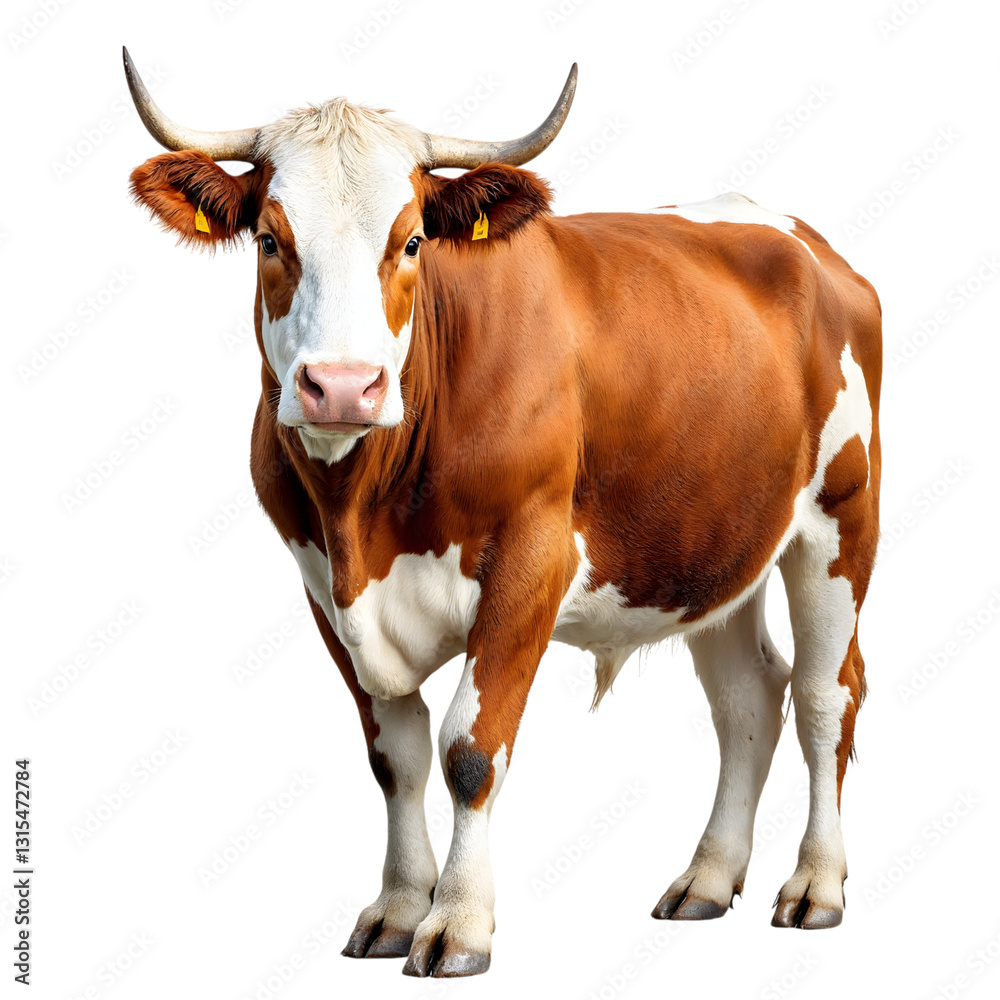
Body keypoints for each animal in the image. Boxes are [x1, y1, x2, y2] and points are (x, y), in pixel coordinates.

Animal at [124, 48, 881, 978]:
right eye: (270, 239)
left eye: (412, 239)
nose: (342, 387)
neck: (364, 516)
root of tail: (794, 234)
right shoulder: (319, 580)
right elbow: (396, 756)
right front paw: (398, 906)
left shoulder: (533, 557)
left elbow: (469, 751)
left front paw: (457, 923)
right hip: (711, 537)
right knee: (748, 696)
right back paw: (706, 877)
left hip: (838, 517)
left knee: (823, 696)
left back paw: (816, 884)